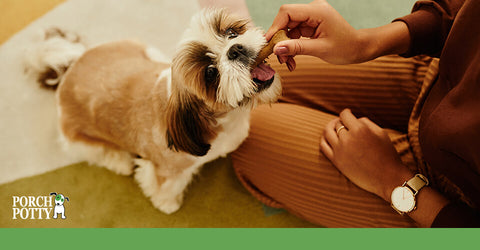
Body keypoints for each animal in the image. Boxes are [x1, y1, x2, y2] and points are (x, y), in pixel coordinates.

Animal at [24, 8, 282, 214]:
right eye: (210, 73)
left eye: (231, 33)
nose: (235, 49)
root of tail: (69, 67)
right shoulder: (166, 171)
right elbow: (164, 187)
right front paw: (168, 204)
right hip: (78, 138)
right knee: (98, 152)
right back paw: (119, 161)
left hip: (144, 50)